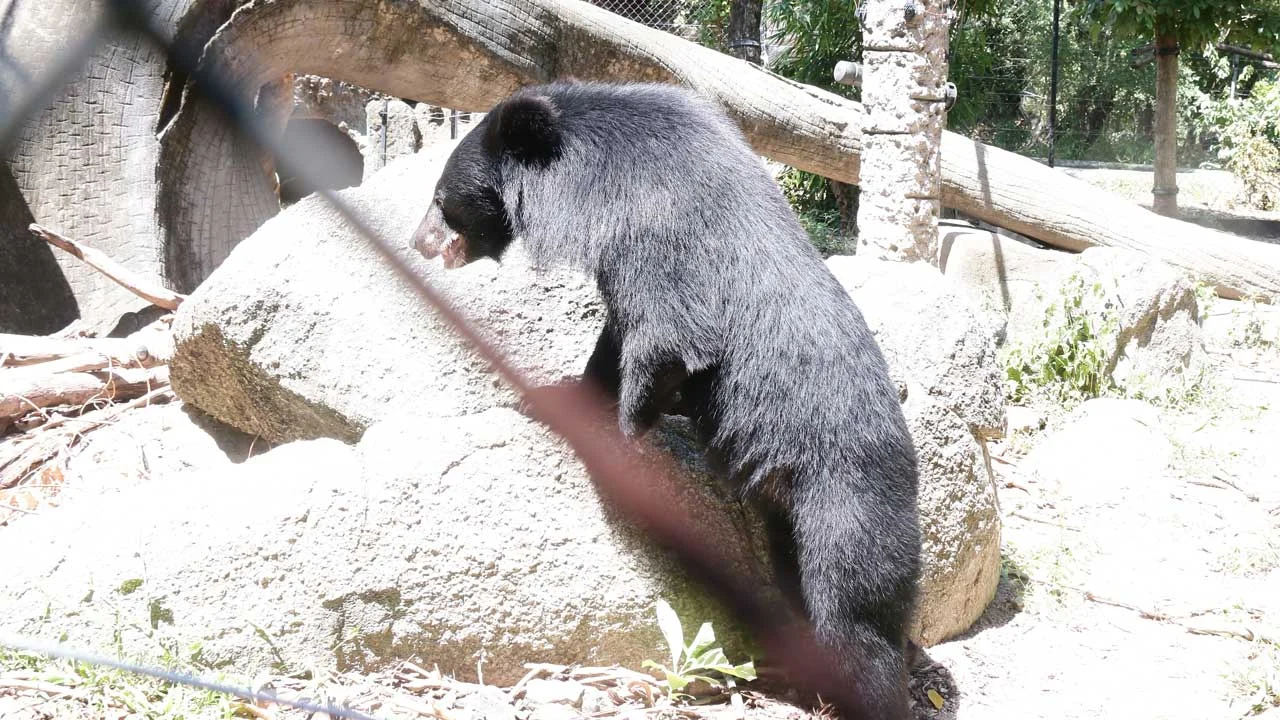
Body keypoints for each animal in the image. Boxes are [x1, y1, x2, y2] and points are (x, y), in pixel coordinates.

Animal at [411, 81, 921, 720]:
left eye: (440, 198)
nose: (417, 242)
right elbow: (617, 338)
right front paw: (564, 396)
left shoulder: (652, 226)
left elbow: (666, 334)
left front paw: (623, 431)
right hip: (789, 516)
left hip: (847, 496)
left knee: (856, 613)